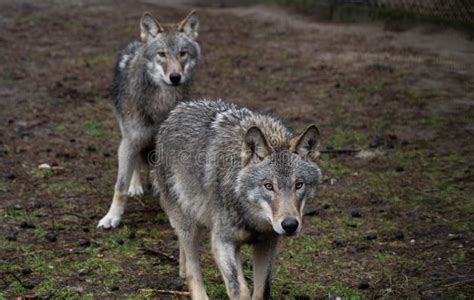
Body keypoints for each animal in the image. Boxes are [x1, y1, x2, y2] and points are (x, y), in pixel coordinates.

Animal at [97, 10, 201, 229]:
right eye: (161, 54)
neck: (161, 103)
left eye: (182, 53)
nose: (175, 77)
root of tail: (138, 42)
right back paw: (136, 186)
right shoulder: (131, 139)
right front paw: (112, 217)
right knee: (135, 162)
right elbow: (120, 185)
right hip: (127, 134)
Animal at [156, 101, 322, 300]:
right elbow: (238, 289)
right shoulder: (221, 242)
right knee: (191, 268)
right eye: (268, 186)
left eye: (298, 185)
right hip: (190, 226)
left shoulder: (267, 243)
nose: (290, 225)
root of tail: (177, 110)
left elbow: (261, 290)